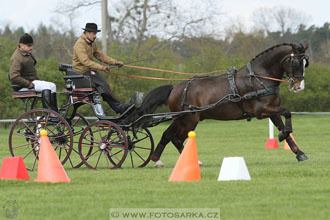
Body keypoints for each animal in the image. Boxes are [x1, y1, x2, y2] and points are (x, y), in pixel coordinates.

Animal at [128, 42, 310, 167]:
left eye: (305, 63)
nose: (299, 86)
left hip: (182, 119)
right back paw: (187, 162)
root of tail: (175, 87)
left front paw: (299, 153)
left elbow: (285, 126)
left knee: (168, 136)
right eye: (295, 63)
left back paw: (160, 160)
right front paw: (282, 136)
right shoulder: (261, 111)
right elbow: (287, 112)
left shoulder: (271, 111)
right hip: (188, 120)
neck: (259, 77)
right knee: (176, 138)